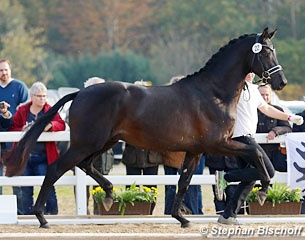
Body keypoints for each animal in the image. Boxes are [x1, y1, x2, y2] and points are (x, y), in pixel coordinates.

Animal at [4, 27, 284, 228]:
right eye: (265, 52)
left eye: (273, 50)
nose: (281, 82)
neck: (213, 93)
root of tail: (80, 93)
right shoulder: (219, 144)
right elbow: (257, 154)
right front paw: (263, 190)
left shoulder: (196, 150)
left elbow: (184, 181)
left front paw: (181, 218)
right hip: (86, 143)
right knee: (55, 169)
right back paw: (42, 218)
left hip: (104, 142)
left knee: (86, 165)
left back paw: (108, 195)